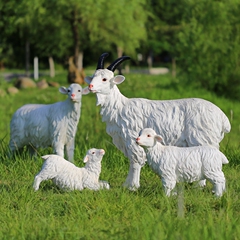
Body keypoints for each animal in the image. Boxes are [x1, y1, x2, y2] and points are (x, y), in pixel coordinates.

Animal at [84, 52, 231, 189]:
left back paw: (199, 187)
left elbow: (135, 162)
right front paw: (126, 185)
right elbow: (132, 161)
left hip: (203, 138)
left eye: (104, 79)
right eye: (93, 76)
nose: (90, 86)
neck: (120, 107)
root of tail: (223, 118)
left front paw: (133, 187)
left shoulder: (132, 137)